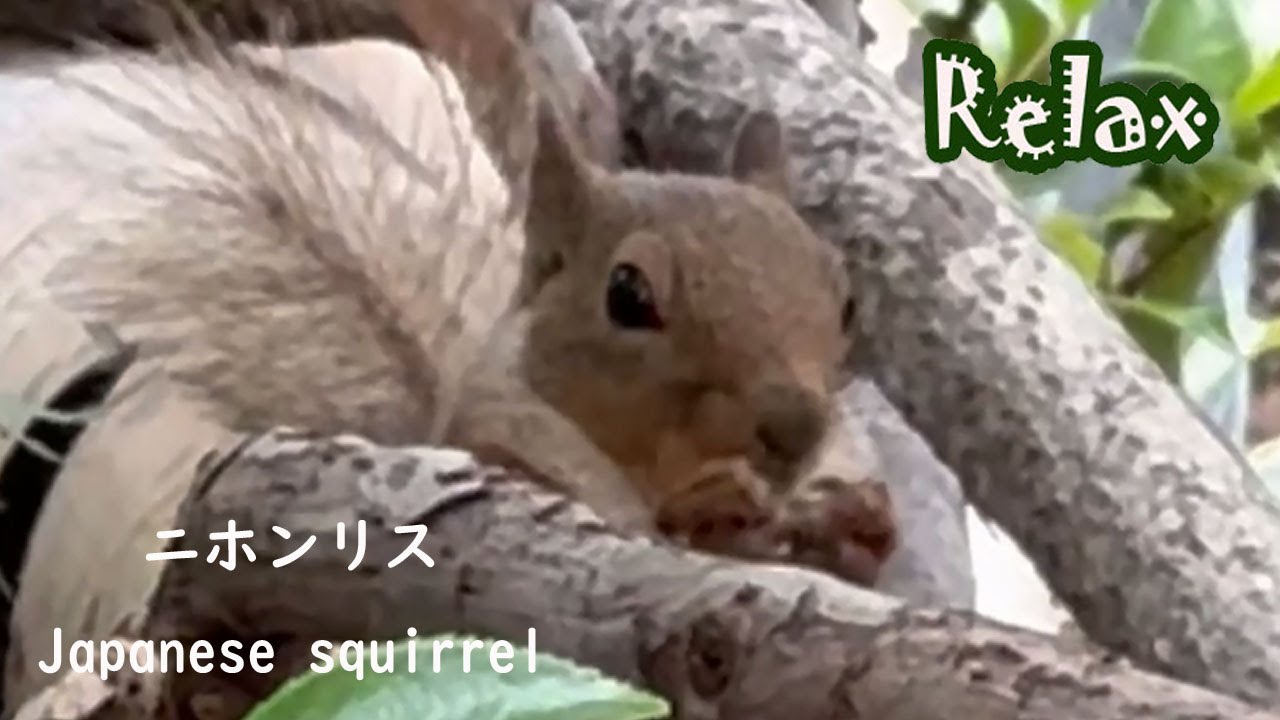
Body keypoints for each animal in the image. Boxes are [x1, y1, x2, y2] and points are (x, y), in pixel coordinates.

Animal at [13, 0, 898, 585]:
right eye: (627, 295)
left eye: (847, 301)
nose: (793, 427)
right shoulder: (507, 440)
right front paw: (716, 503)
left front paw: (853, 520)